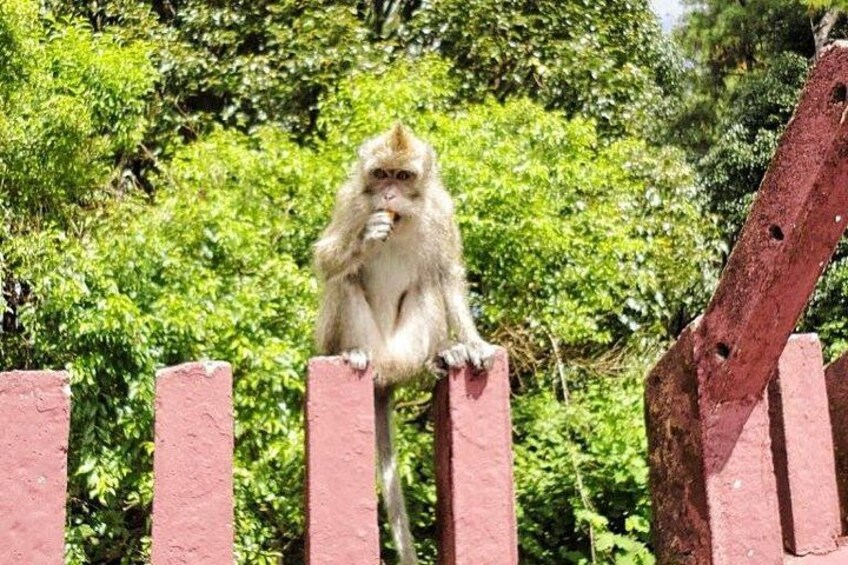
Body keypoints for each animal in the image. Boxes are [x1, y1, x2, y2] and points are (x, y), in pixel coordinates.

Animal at [313, 123, 496, 564]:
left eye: (403, 176)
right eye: (381, 174)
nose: (389, 196)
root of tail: (387, 372)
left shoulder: (442, 210)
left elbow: (447, 273)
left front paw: (473, 342)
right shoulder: (350, 200)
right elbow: (326, 259)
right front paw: (365, 238)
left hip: (405, 348)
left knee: (427, 284)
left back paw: (441, 355)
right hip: (360, 342)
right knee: (343, 279)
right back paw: (349, 352)